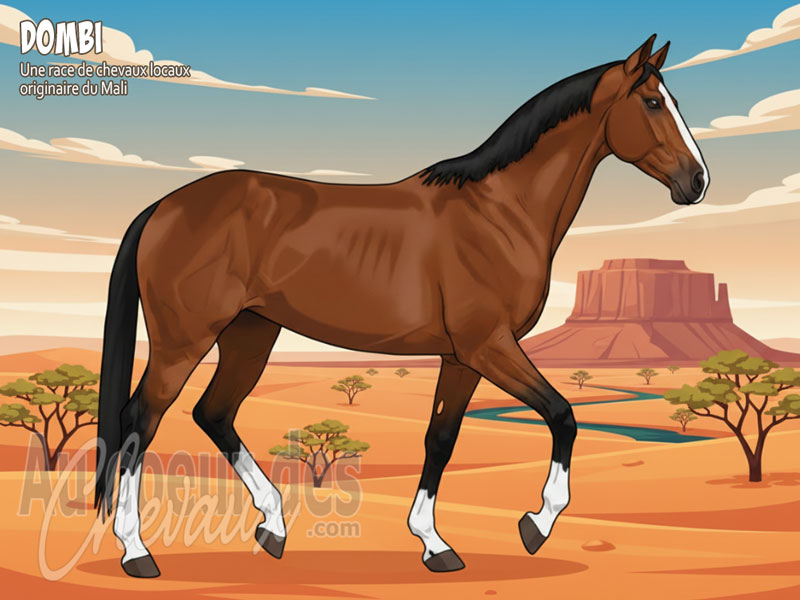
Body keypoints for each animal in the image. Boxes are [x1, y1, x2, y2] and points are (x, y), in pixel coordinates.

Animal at [95, 34, 708, 577]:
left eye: (675, 101)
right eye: (653, 102)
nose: (697, 181)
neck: (499, 212)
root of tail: (163, 207)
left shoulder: (462, 357)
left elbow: (441, 439)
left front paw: (435, 544)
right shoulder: (491, 346)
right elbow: (563, 416)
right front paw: (535, 523)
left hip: (250, 333)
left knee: (214, 413)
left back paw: (273, 526)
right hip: (184, 340)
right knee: (141, 420)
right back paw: (136, 552)